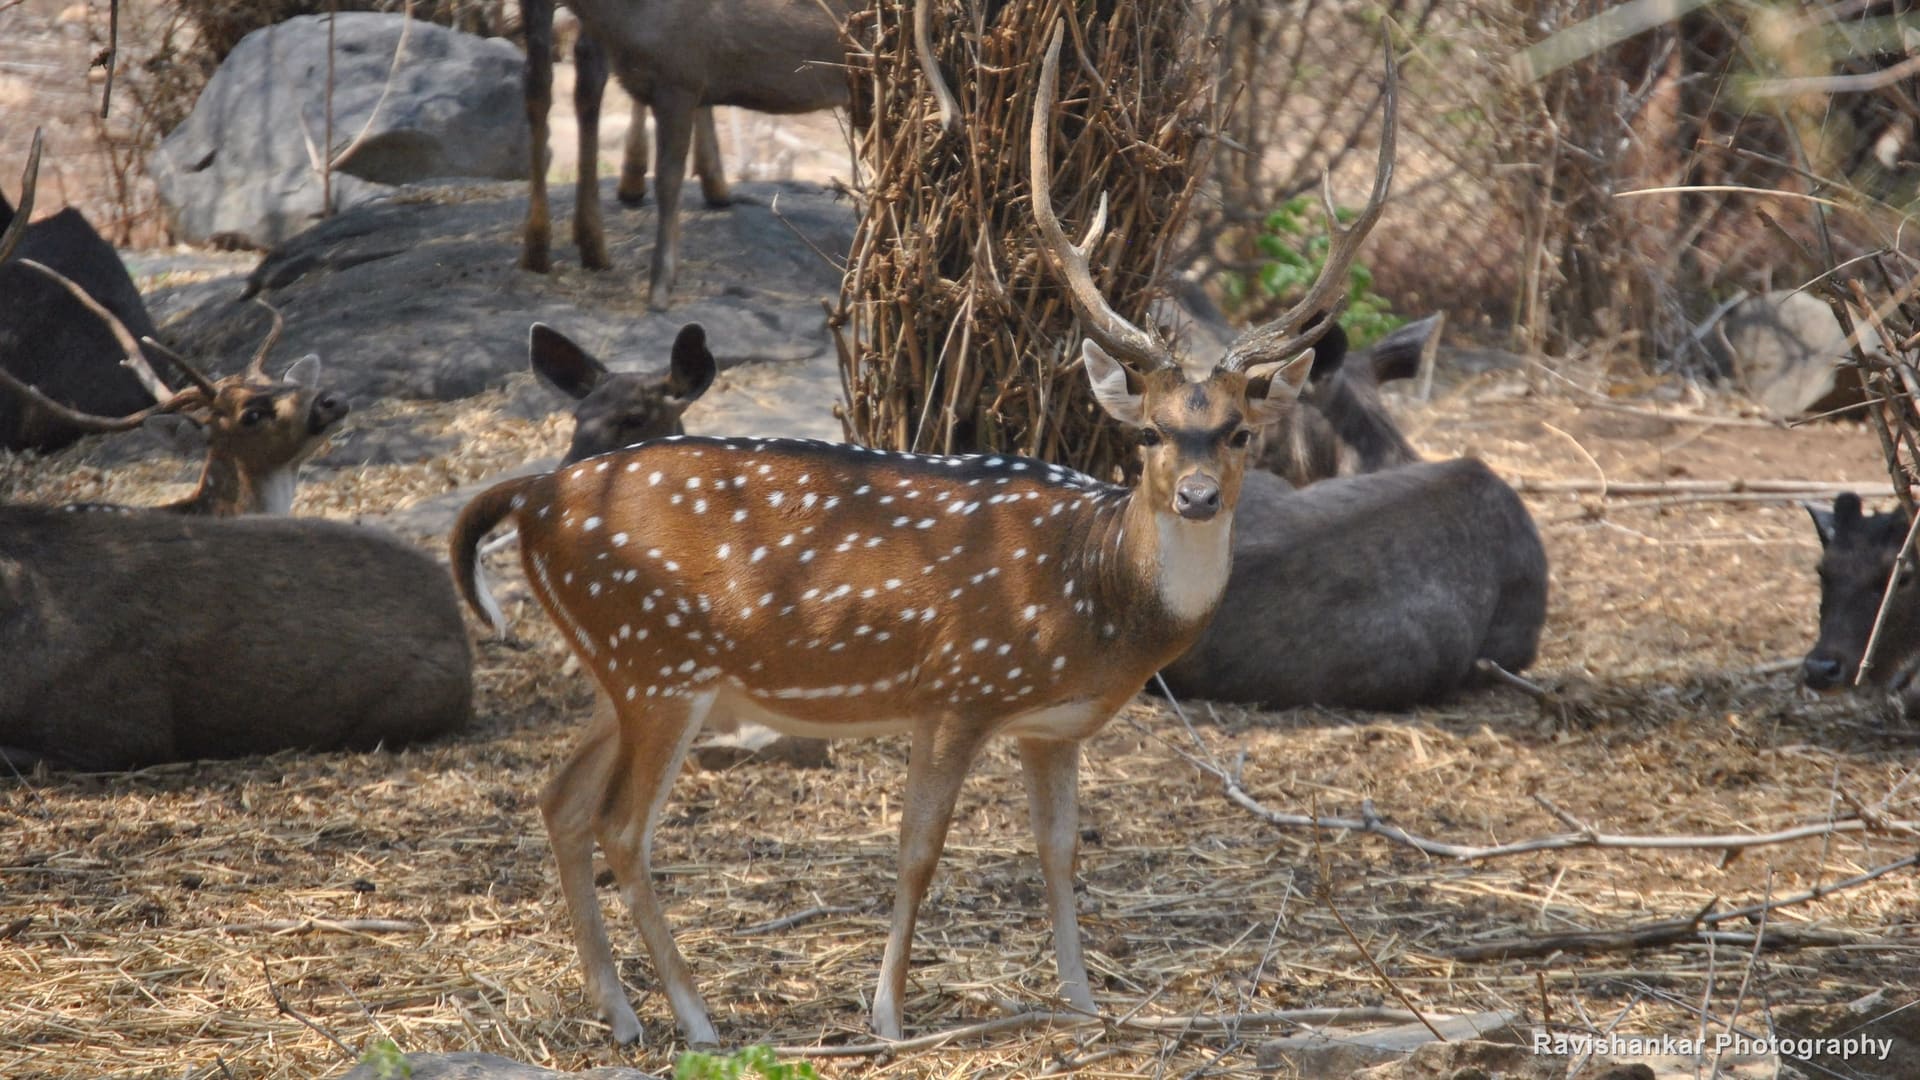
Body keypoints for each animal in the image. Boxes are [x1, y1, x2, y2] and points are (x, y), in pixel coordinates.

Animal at [449, 24, 1393, 1045]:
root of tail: (533, 495)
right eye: (1146, 432)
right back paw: (696, 1020)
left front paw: (1085, 1003)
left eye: (1238, 431)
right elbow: (918, 850)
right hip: (662, 664)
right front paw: (890, 1015)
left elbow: (1060, 850)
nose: (1196, 496)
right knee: (622, 825)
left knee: (561, 800)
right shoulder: (955, 687)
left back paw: (619, 1012)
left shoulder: (1052, 726)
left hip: (617, 669)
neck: (1096, 592)